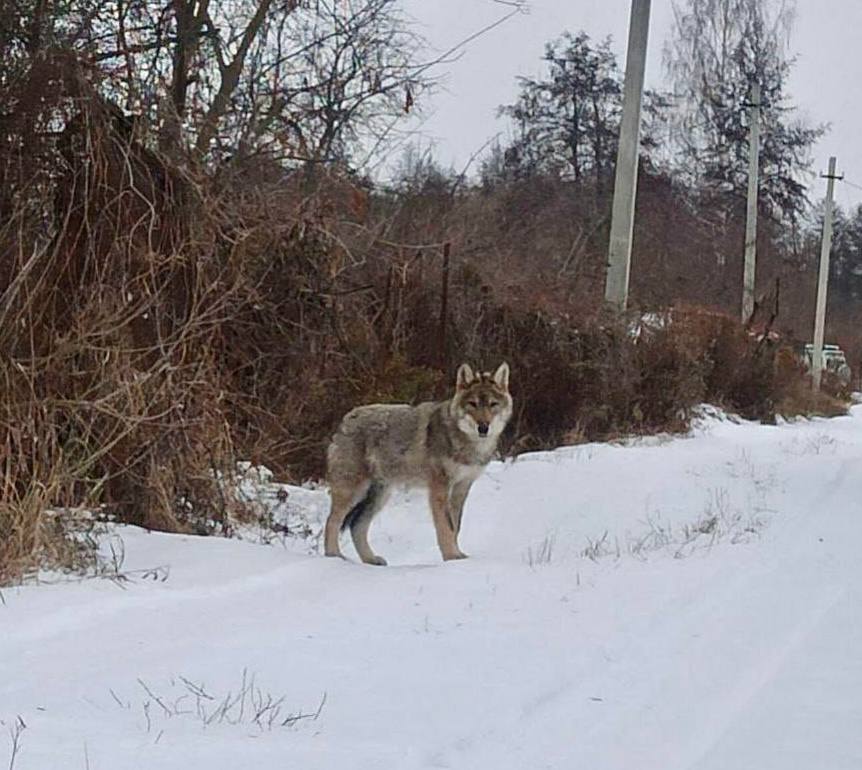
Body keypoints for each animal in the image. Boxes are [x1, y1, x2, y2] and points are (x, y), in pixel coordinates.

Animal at [324, 360, 512, 564]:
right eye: (473, 404)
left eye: (493, 404)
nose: (483, 427)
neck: (467, 444)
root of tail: (345, 420)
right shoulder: (439, 488)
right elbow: (446, 527)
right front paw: (451, 557)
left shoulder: (462, 487)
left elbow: (456, 526)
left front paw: (457, 558)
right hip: (352, 492)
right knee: (332, 522)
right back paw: (333, 556)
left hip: (379, 495)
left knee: (356, 525)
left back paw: (371, 560)